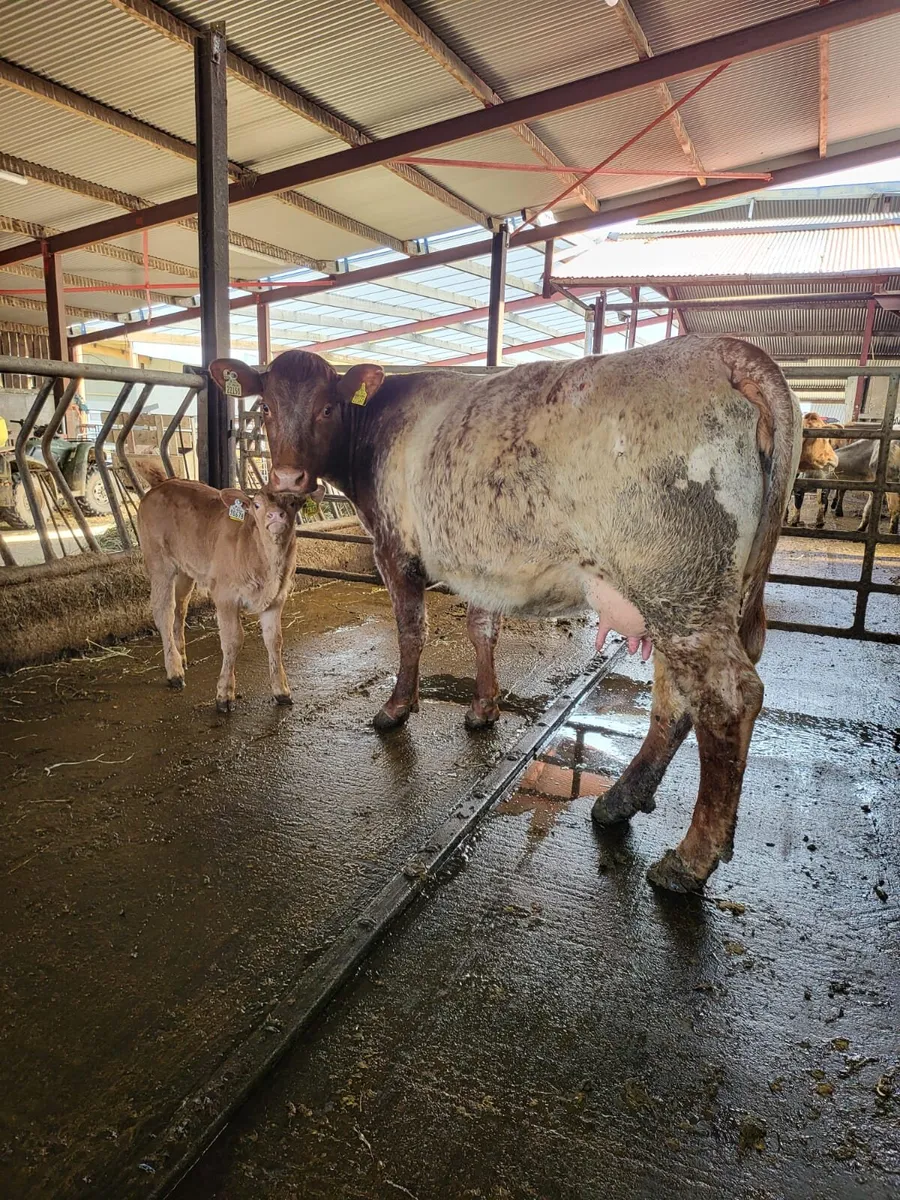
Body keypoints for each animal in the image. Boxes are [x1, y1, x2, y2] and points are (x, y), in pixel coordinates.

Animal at [136, 465, 305, 712]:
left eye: (292, 502)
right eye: (257, 505)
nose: (276, 516)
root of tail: (163, 482)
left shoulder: (276, 598)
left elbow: (275, 640)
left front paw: (282, 691)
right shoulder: (226, 595)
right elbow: (233, 640)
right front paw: (224, 695)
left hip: (186, 569)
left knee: (180, 608)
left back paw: (181, 656)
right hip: (159, 562)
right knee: (163, 611)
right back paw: (174, 671)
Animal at [210, 336, 801, 893]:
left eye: (328, 407)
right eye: (265, 408)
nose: (288, 479)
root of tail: (726, 350)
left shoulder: (394, 550)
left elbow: (411, 631)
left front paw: (397, 708)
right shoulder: (479, 561)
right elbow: (481, 629)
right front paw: (483, 709)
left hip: (678, 585)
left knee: (726, 699)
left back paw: (688, 861)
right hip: (685, 595)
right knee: (677, 697)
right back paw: (619, 801)